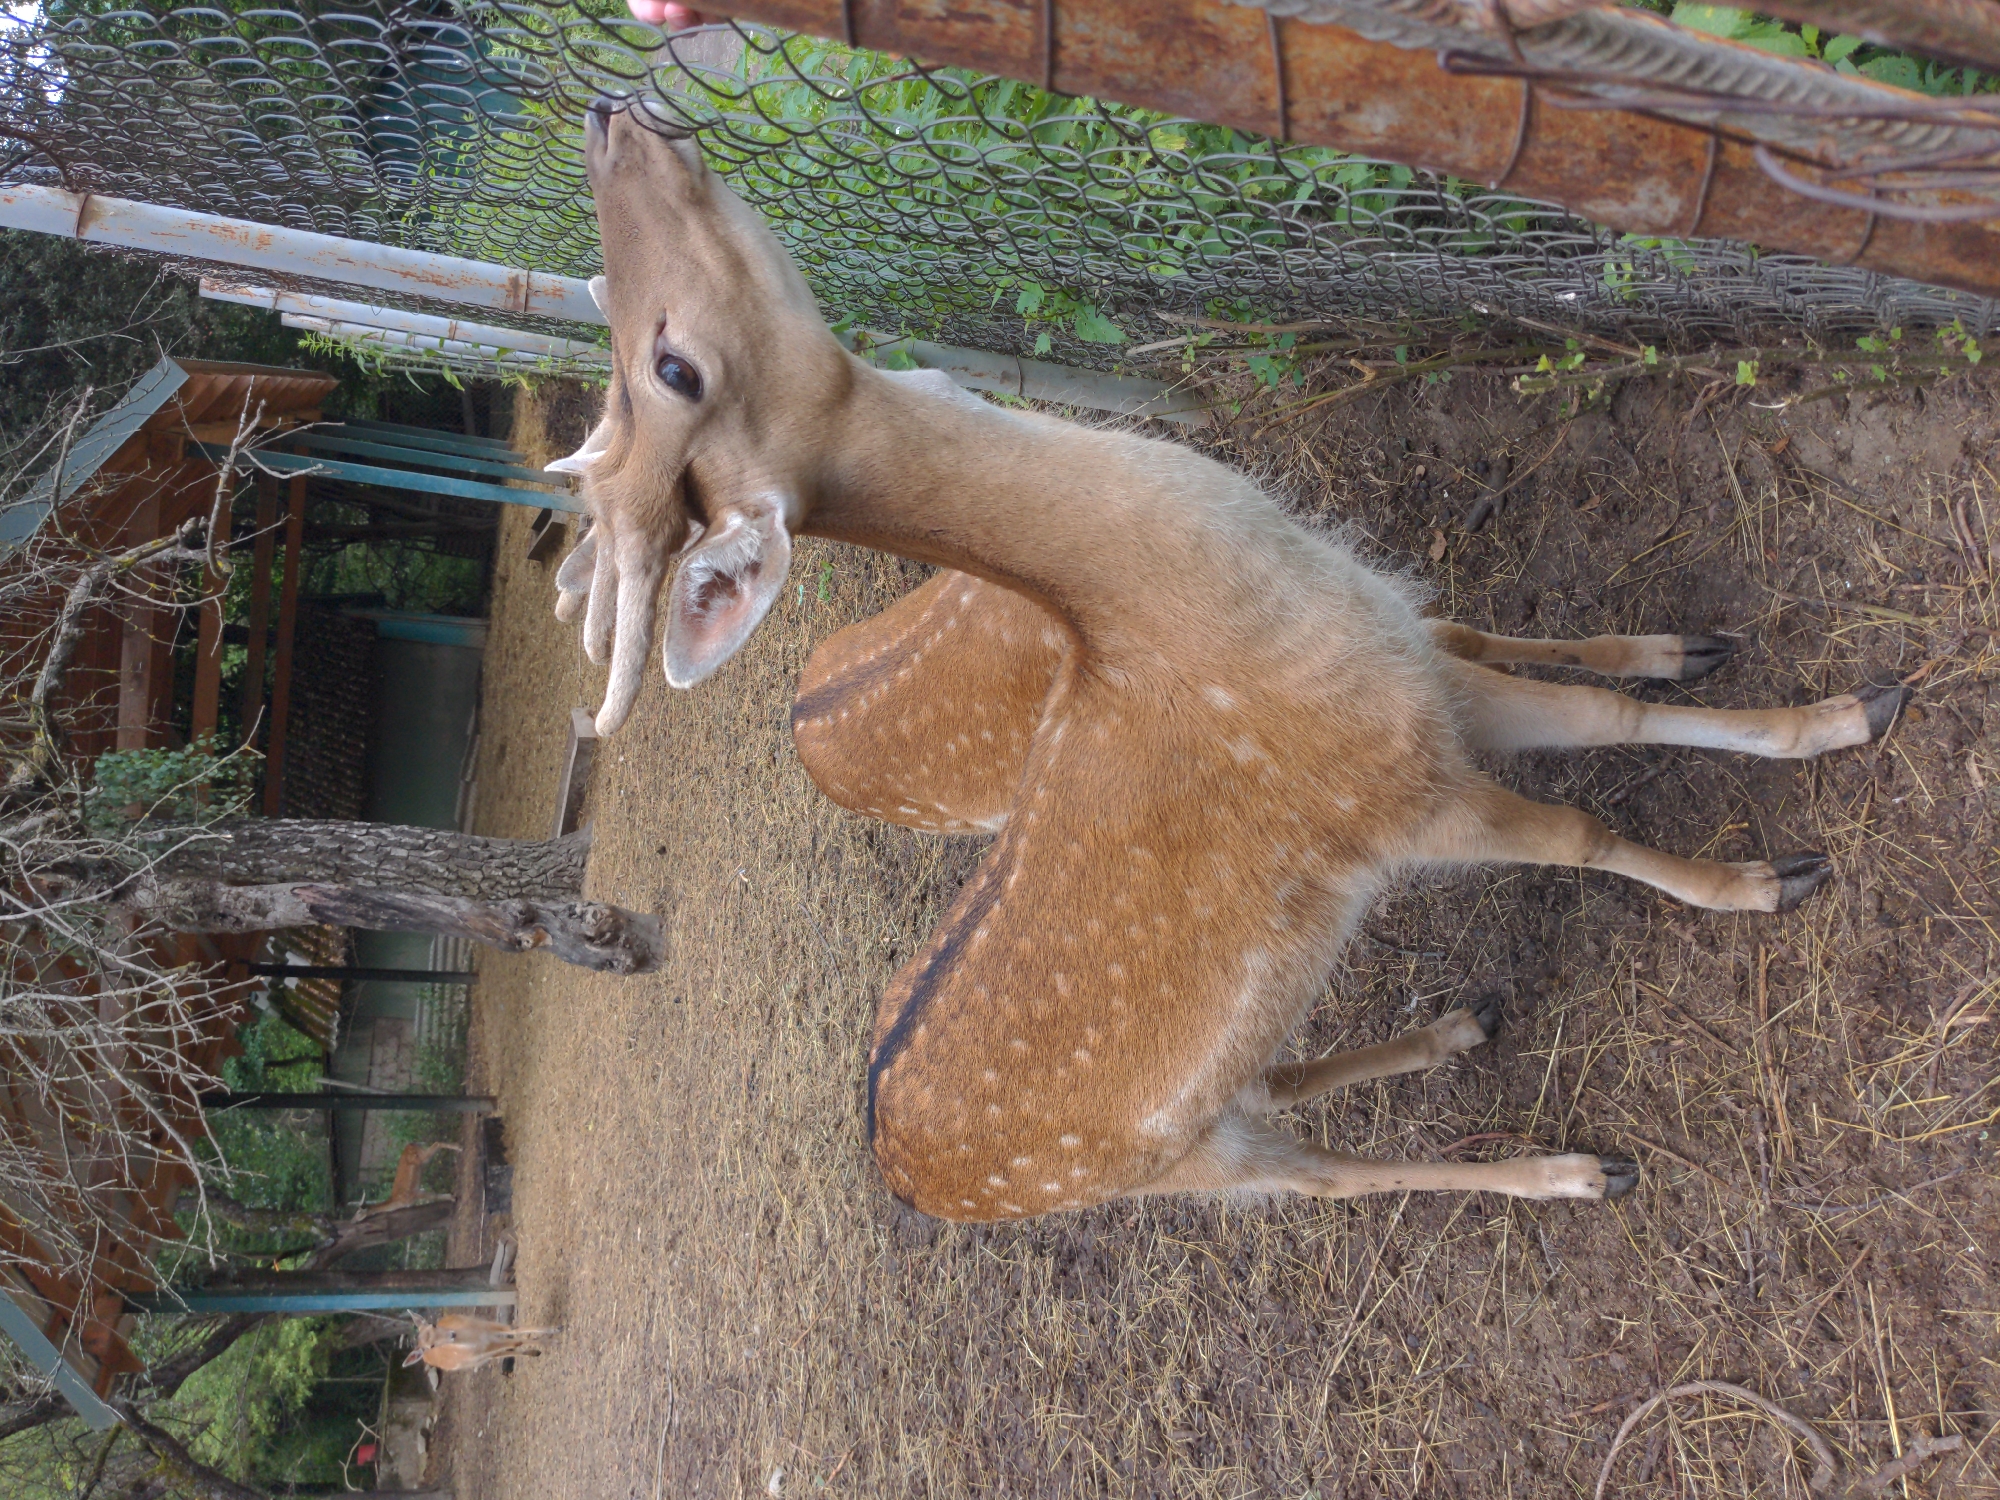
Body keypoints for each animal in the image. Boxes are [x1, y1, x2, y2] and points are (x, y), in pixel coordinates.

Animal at [555, 97, 1906, 1222]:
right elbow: (1585, 827)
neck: (1204, 619)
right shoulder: (1390, 799)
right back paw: (1575, 1169)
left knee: (1277, 1082)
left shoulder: (1416, 689)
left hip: (1206, 1109)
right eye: (669, 364)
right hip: (1159, 1166)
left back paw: (1460, 1027)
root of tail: (903, 1166)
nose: (611, 117)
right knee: (1319, 1179)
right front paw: (1771, 874)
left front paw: (1817, 700)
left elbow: (1598, 714)